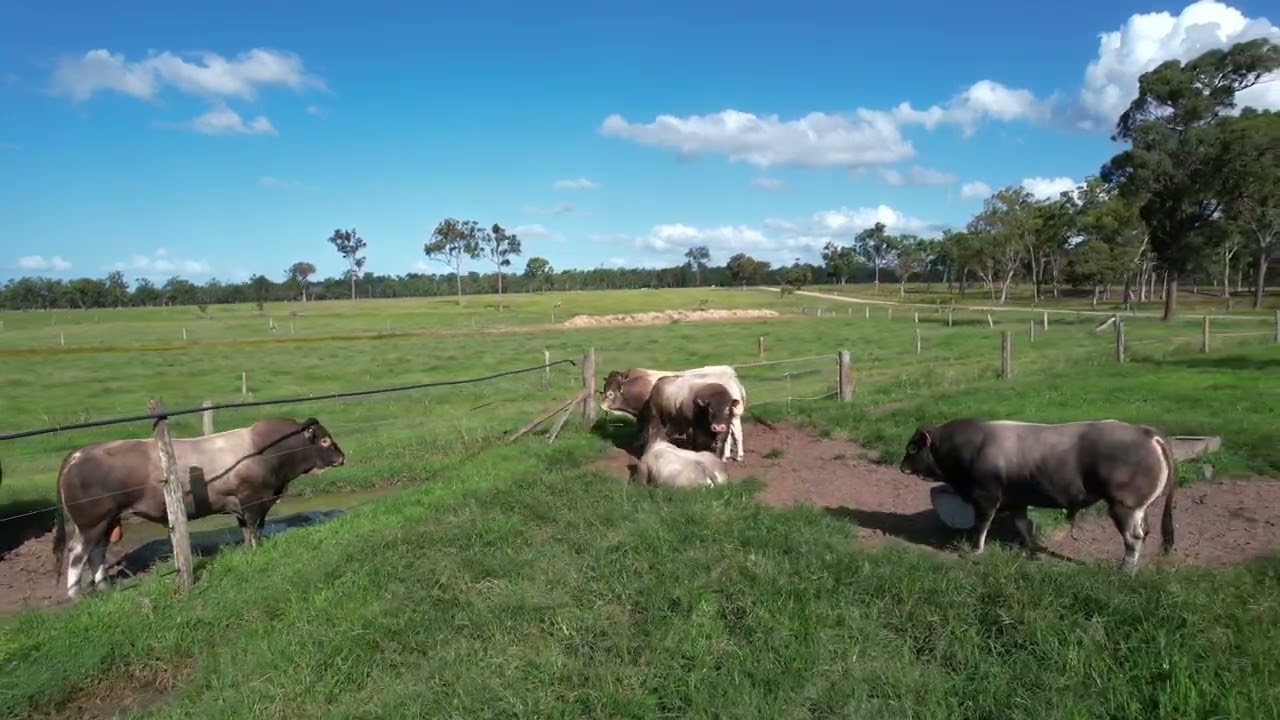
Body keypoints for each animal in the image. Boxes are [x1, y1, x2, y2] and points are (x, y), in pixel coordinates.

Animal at [52, 416, 346, 599]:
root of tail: (77, 454)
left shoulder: (240, 505)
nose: (342, 457)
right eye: (324, 440)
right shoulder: (253, 501)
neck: (269, 453)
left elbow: (245, 531)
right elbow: (255, 530)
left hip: (107, 520)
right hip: (91, 521)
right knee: (78, 551)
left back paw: (104, 587)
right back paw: (75, 593)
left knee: (97, 552)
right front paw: (257, 550)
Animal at [601, 365, 746, 461]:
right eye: (604, 388)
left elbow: (645, 431)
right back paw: (736, 455)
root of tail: (731, 376)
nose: (602, 405)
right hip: (734, 418)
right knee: (736, 434)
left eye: (610, 393)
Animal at [897, 418, 1177, 575]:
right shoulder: (1017, 499)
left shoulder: (985, 496)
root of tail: (1147, 433)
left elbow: (981, 525)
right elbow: (1022, 525)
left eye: (912, 447)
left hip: (1123, 505)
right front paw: (1032, 550)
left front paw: (975, 550)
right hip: (1139, 508)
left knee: (1133, 537)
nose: (901, 467)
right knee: (1145, 531)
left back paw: (1125, 570)